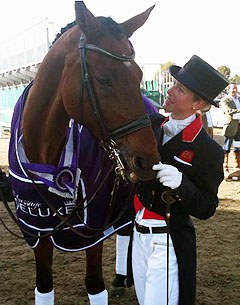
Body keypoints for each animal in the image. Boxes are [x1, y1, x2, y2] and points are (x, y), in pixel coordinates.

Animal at [7, 2, 158, 304]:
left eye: (139, 75)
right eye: (103, 79)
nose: (147, 159)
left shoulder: (91, 229)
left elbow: (94, 285)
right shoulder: (37, 228)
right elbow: (44, 286)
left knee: (127, 230)